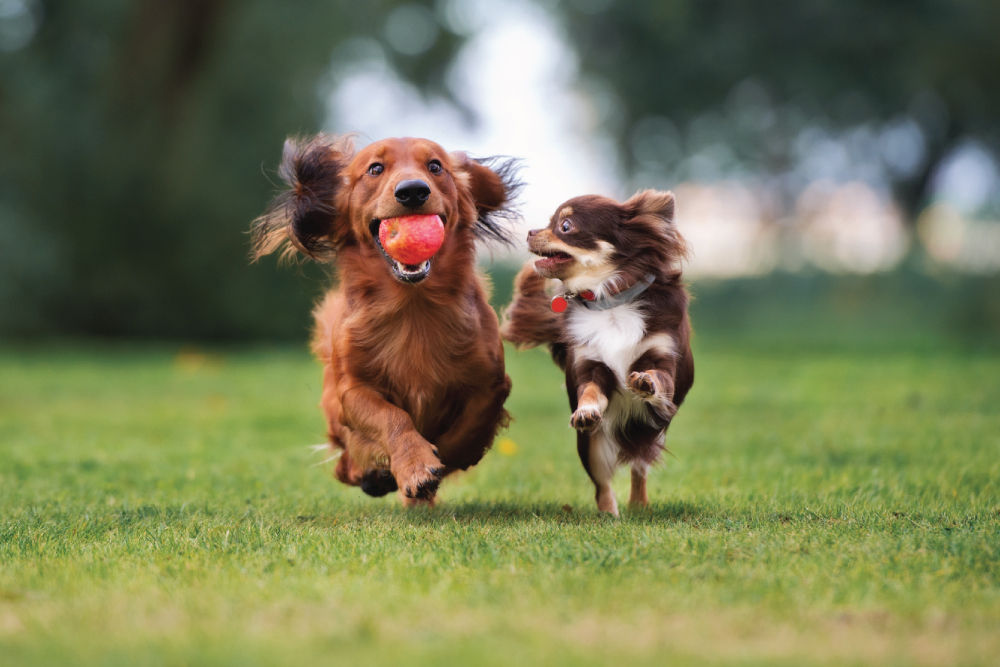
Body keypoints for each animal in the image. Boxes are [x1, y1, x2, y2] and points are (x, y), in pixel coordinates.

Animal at [250, 137, 520, 506]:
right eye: (375, 168)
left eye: (435, 166)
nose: (413, 191)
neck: (413, 306)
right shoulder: (353, 390)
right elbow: (392, 417)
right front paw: (415, 465)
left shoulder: (491, 382)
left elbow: (469, 427)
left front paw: (440, 460)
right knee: (345, 464)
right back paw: (373, 475)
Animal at [500, 190, 696, 520]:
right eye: (549, 222)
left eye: (565, 226)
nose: (530, 231)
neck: (610, 301)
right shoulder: (591, 366)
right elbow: (591, 391)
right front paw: (587, 411)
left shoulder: (663, 358)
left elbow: (658, 377)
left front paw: (645, 382)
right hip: (590, 446)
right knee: (602, 484)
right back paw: (609, 516)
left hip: (652, 432)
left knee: (639, 467)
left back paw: (638, 505)